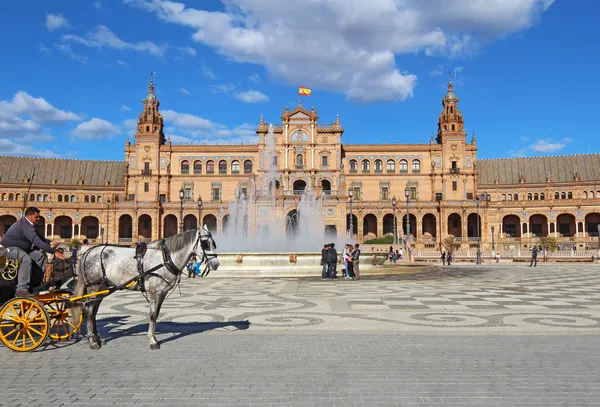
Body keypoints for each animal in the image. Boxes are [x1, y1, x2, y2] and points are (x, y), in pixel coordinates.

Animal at [71, 226, 219, 350]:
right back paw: (92, 342)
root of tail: (89, 251)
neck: (166, 257)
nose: (216, 264)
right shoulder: (155, 292)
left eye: (214, 243)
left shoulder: (162, 292)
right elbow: (152, 315)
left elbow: (156, 314)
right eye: (205, 243)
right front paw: (153, 341)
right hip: (94, 287)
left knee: (94, 311)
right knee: (89, 311)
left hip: (102, 287)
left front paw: (153, 337)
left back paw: (97, 338)